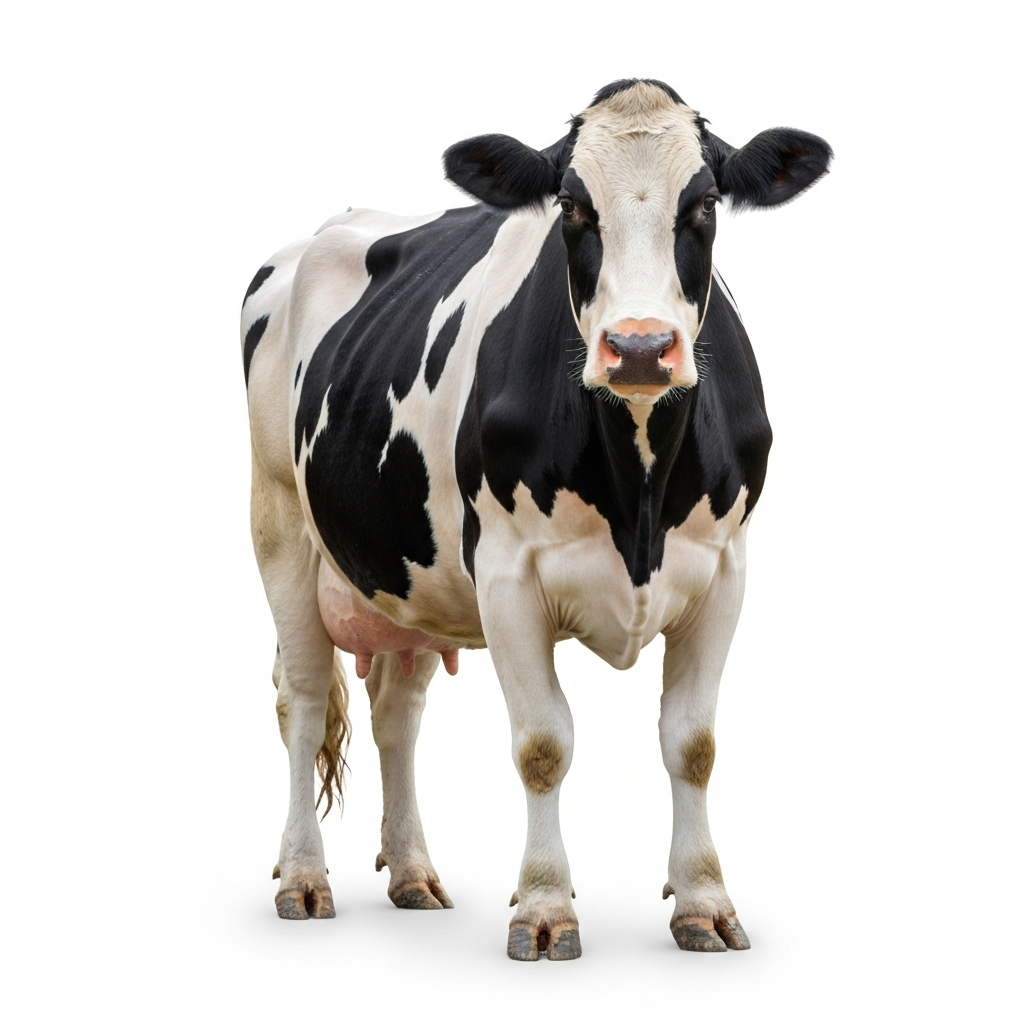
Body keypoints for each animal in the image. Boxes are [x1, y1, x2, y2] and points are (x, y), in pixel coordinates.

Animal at [241, 79, 831, 960]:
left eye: (703, 205)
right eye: (573, 207)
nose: (640, 348)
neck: (637, 488)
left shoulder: (724, 571)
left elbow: (692, 745)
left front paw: (704, 902)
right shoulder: (507, 576)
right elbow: (544, 744)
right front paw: (547, 908)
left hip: (413, 575)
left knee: (396, 714)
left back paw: (413, 873)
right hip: (279, 519)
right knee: (305, 703)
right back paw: (305, 879)